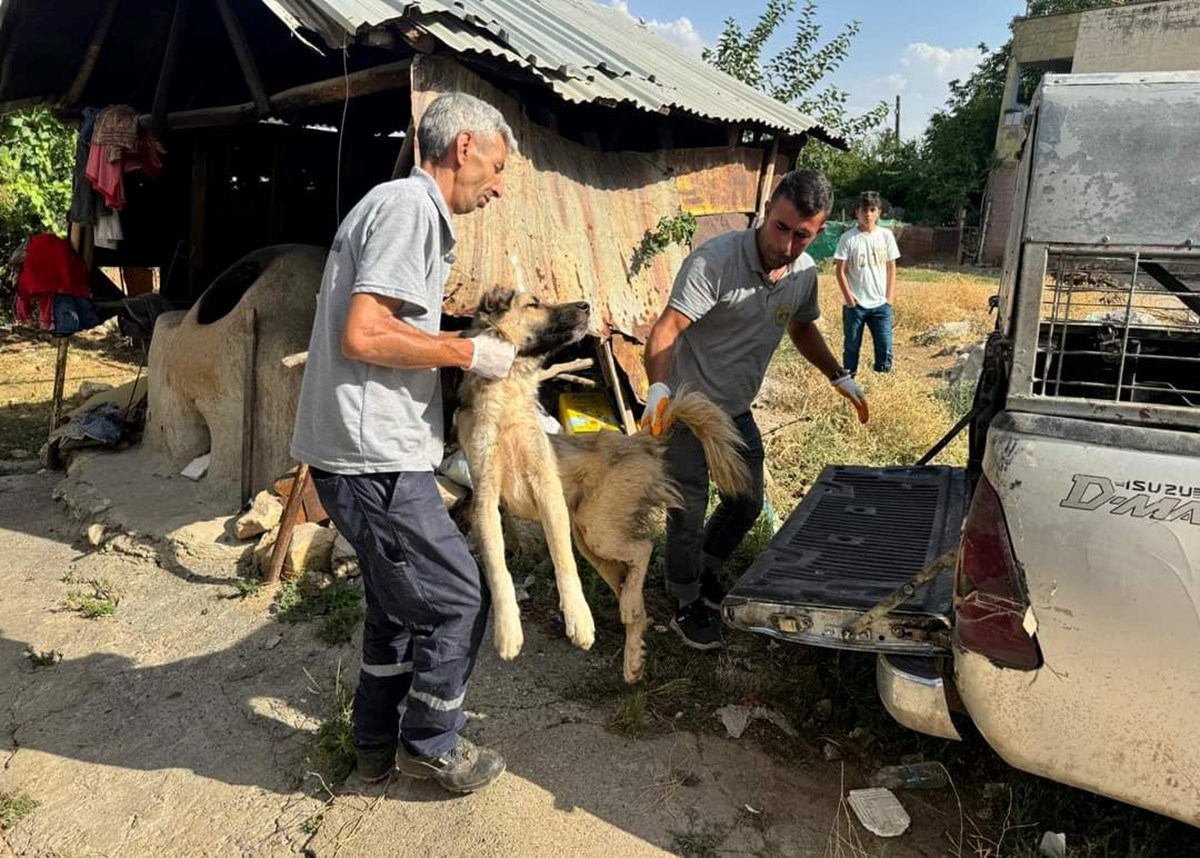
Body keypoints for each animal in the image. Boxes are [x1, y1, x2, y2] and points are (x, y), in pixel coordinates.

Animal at [453, 289, 744, 686]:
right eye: (533, 305)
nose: (585, 305)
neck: (508, 403)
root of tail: (641, 440)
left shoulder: (547, 490)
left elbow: (563, 563)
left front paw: (579, 620)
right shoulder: (485, 498)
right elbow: (498, 568)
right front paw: (508, 630)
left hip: (595, 527)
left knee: (643, 547)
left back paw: (627, 614)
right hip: (591, 539)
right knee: (634, 587)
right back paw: (632, 652)